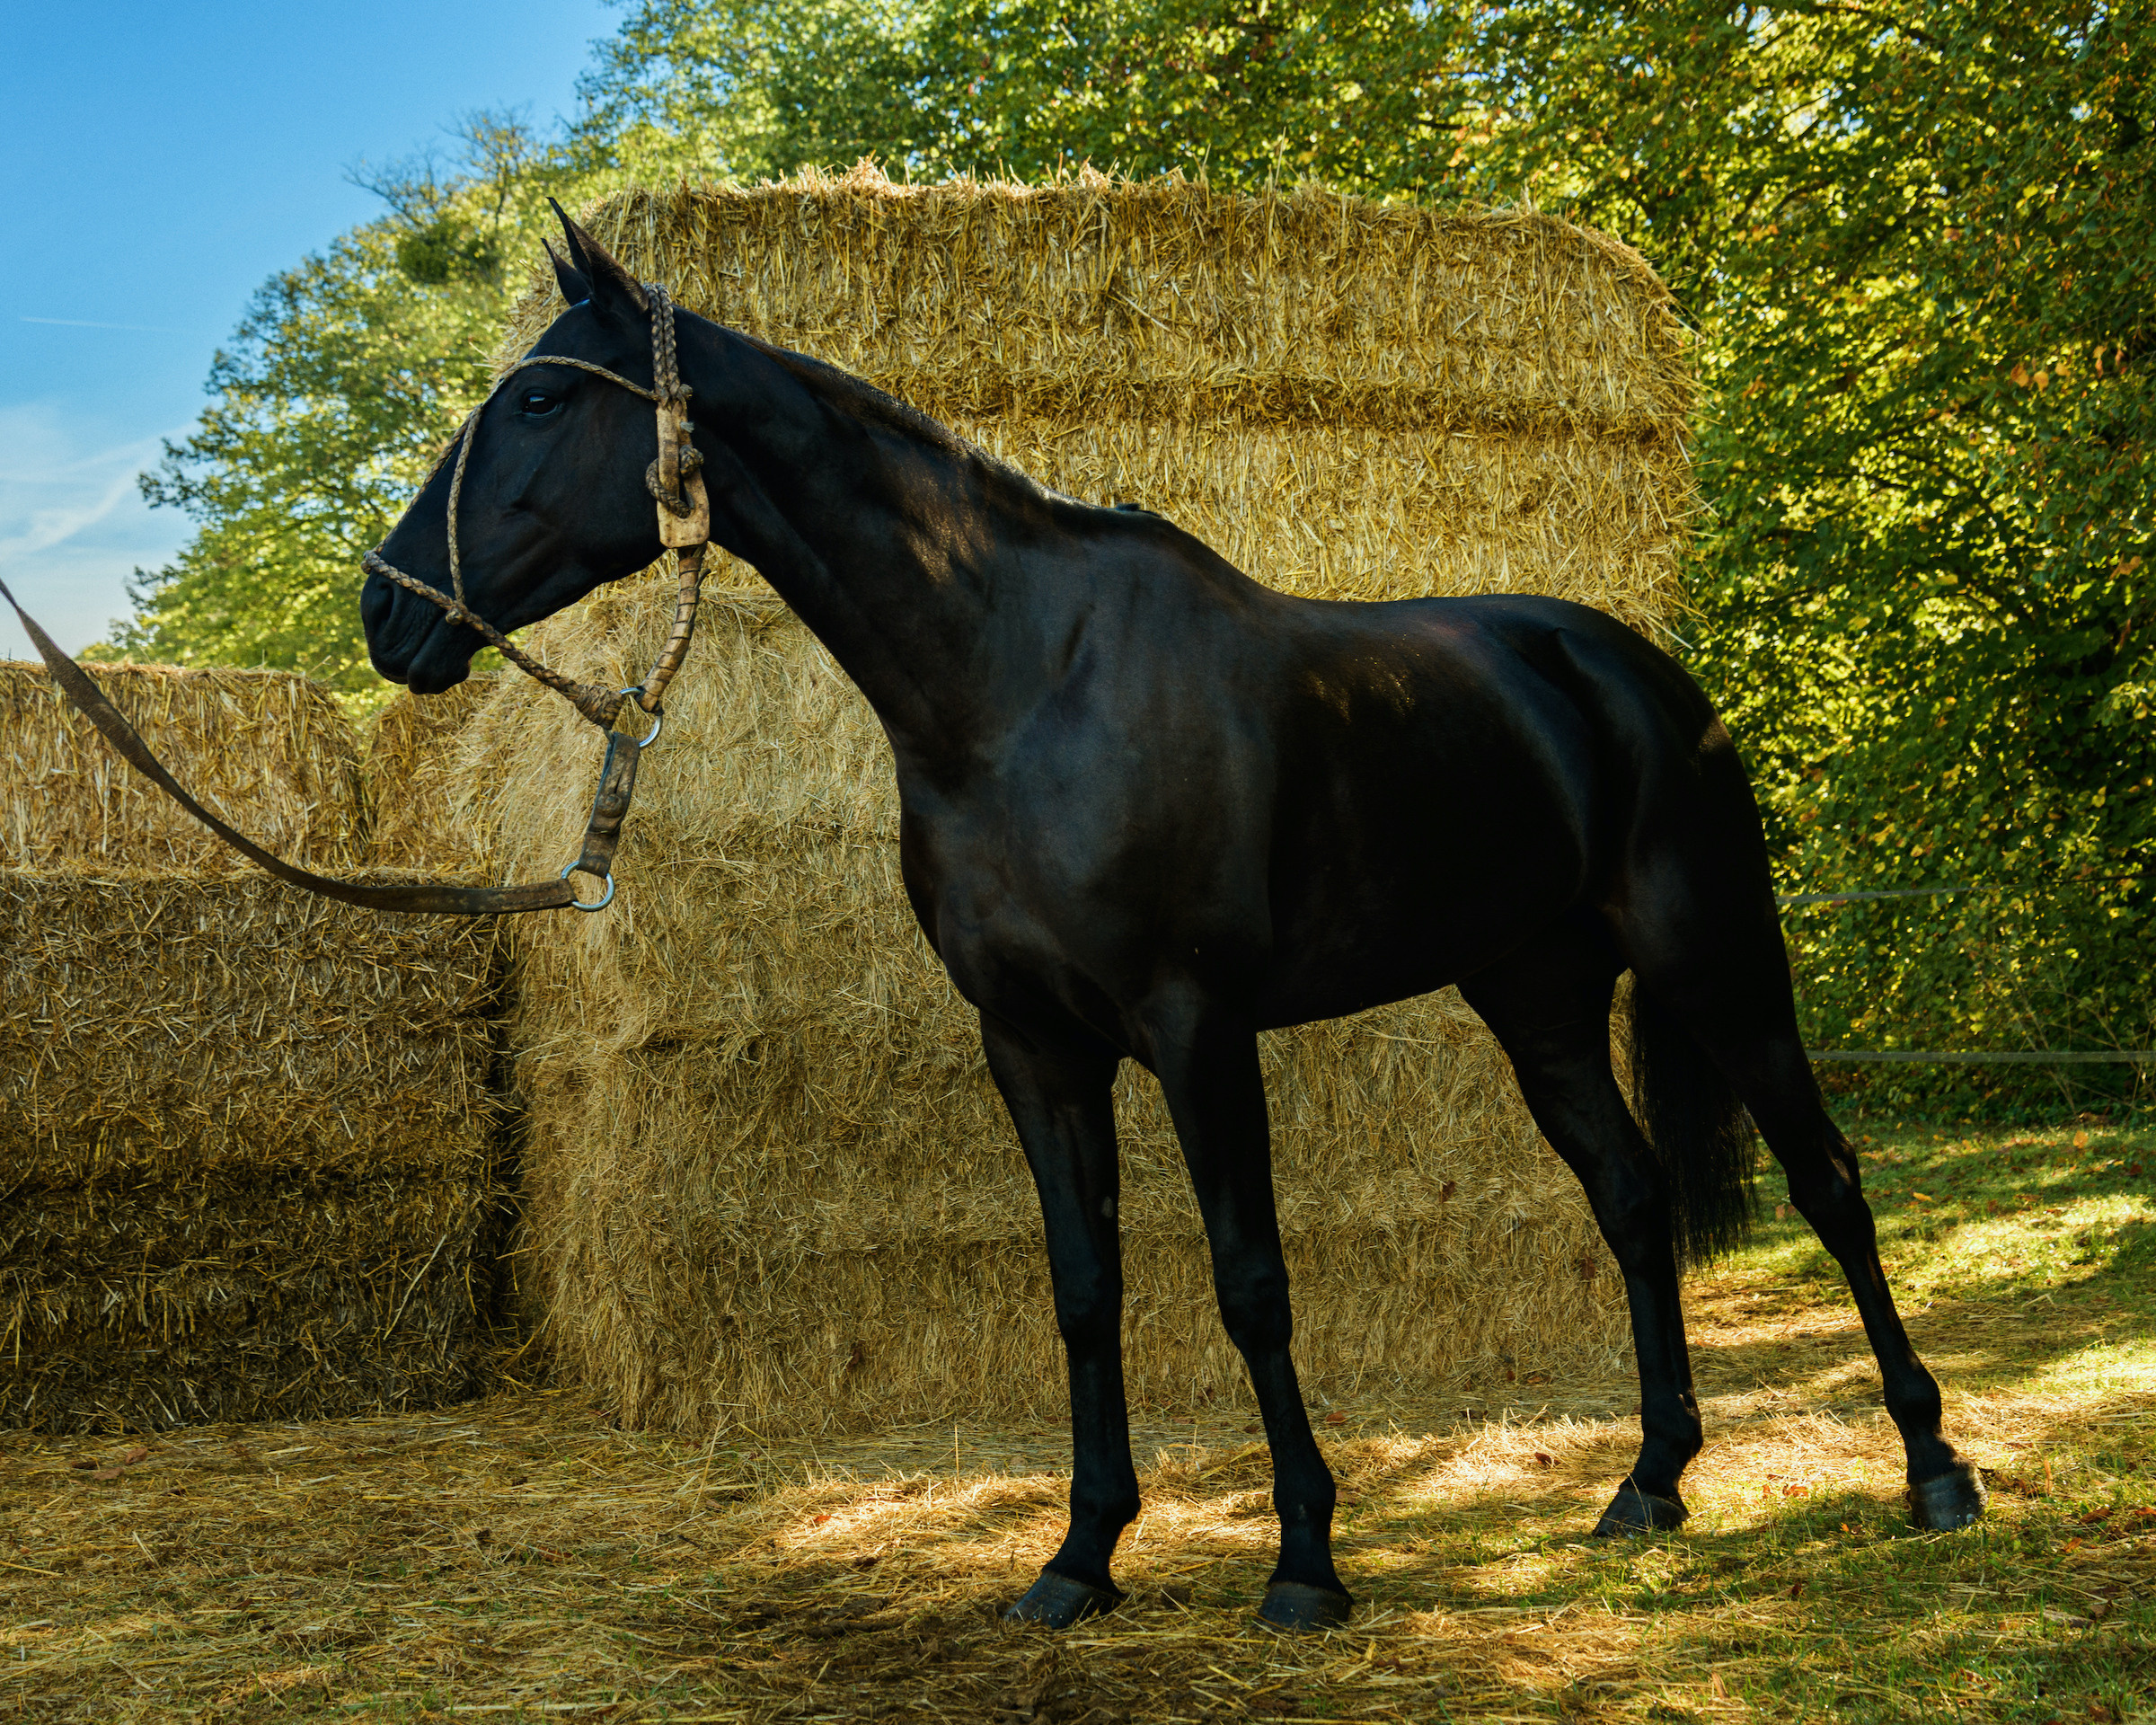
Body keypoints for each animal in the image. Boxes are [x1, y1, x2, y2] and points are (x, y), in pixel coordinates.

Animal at [361, 208, 1985, 1632]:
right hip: (1536, 997)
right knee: (1635, 1203)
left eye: (545, 397)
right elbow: (1086, 1291)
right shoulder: (1032, 1045)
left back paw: (1934, 1470)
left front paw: (1307, 1565)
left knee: (1831, 1182)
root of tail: (1630, 667)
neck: (1019, 688)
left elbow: (1250, 1282)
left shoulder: (1199, 1030)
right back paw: (1650, 1483)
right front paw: (1080, 1558)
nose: (386, 613)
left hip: (1719, 963)